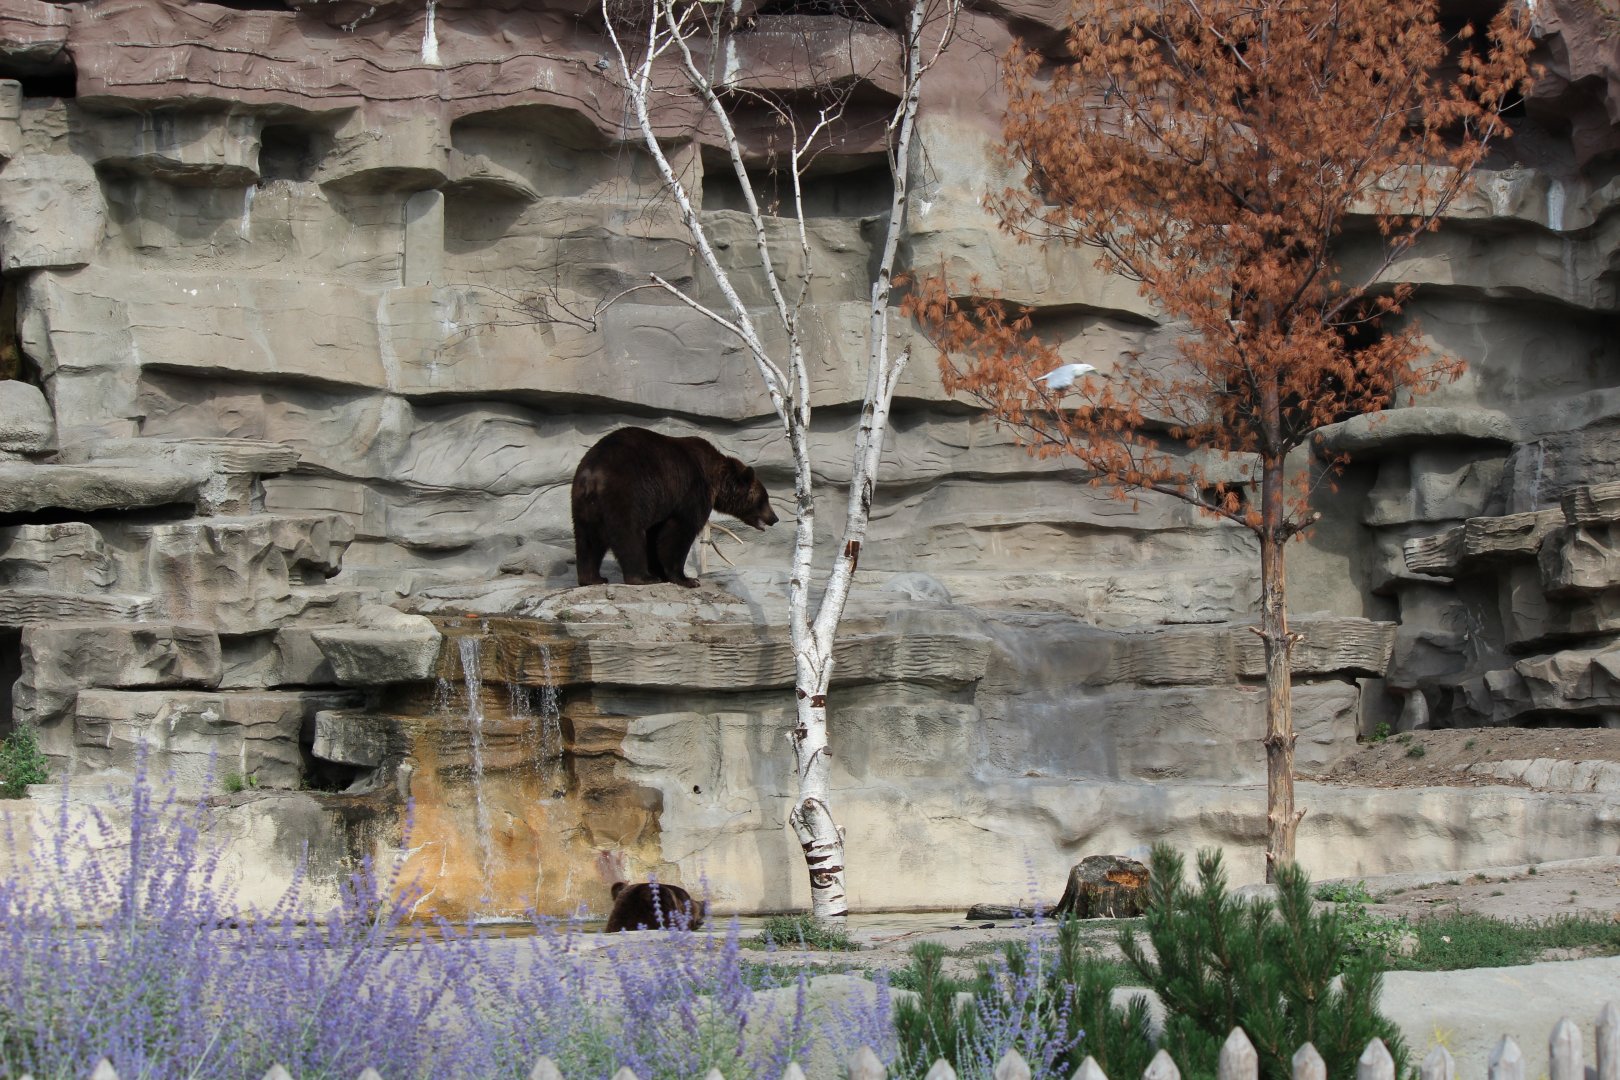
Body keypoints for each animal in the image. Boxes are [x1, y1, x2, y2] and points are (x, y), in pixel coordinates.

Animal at [571, 426, 778, 588]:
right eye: (764, 498)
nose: (774, 518)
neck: (715, 479)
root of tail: (593, 476)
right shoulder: (690, 492)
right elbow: (679, 532)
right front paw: (687, 579)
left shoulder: (662, 502)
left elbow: (656, 534)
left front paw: (662, 572)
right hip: (625, 492)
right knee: (629, 534)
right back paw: (642, 577)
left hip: (584, 505)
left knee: (588, 539)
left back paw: (593, 578)